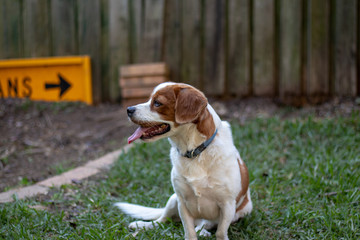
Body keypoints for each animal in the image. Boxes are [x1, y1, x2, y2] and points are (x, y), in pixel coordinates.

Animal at [116, 83, 253, 240]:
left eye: (157, 103)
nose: (128, 109)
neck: (194, 152)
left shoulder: (227, 205)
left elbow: (220, 232)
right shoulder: (182, 202)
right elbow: (189, 231)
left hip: (241, 211)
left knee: (205, 224)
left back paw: (203, 231)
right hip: (172, 199)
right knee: (162, 220)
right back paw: (142, 225)